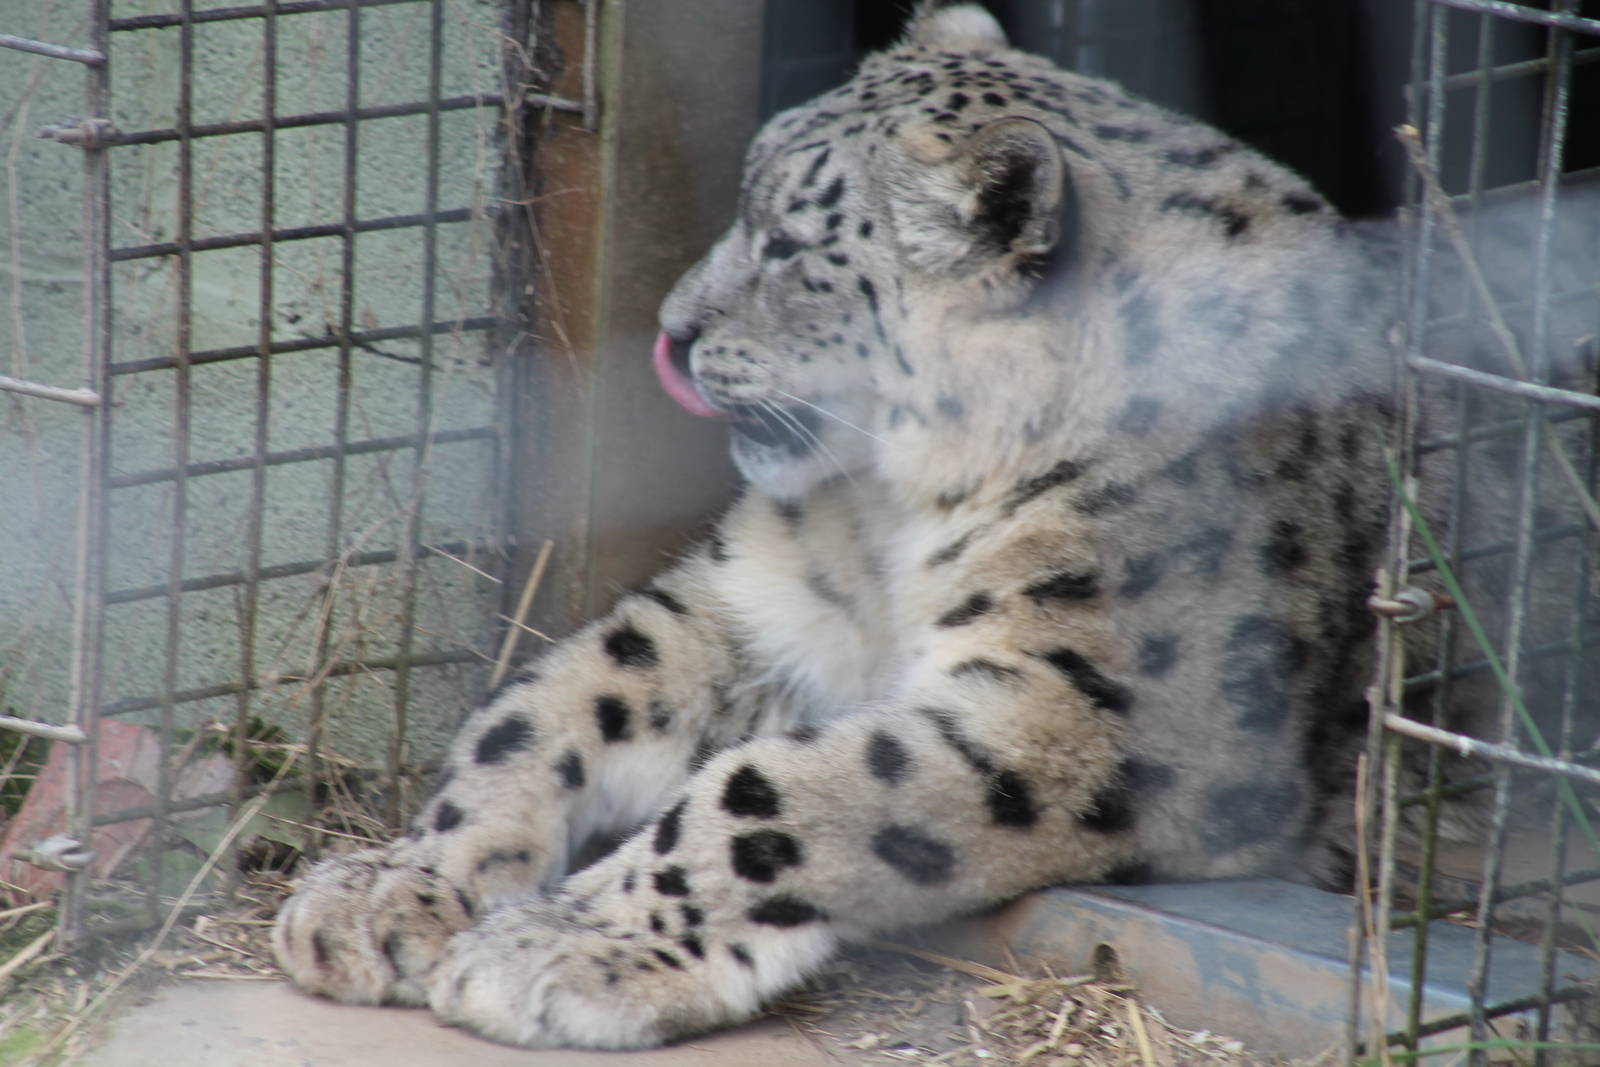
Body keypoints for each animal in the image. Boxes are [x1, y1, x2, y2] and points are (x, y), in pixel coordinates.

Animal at [273, 2, 1594, 1050]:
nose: (672, 330)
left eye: (791, 244)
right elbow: (552, 699)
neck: (889, 523)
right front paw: (395, 886)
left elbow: (771, 791)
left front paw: (558, 946)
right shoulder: (749, 607)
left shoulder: (1094, 716)